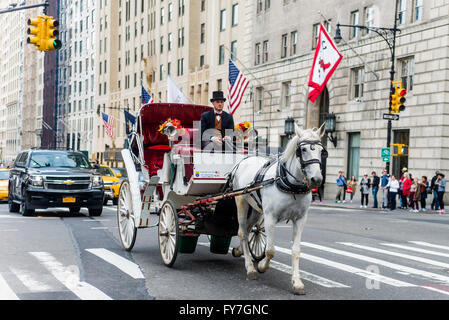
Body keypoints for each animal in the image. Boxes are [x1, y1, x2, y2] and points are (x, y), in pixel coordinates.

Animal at [233, 123, 324, 296]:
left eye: (322, 150)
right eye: (303, 150)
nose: (316, 179)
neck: (291, 185)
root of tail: (245, 159)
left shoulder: (300, 219)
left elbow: (296, 250)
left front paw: (297, 282)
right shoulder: (270, 217)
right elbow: (270, 250)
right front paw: (262, 266)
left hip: (256, 210)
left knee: (248, 230)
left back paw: (239, 251)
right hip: (241, 202)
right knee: (242, 233)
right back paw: (250, 268)